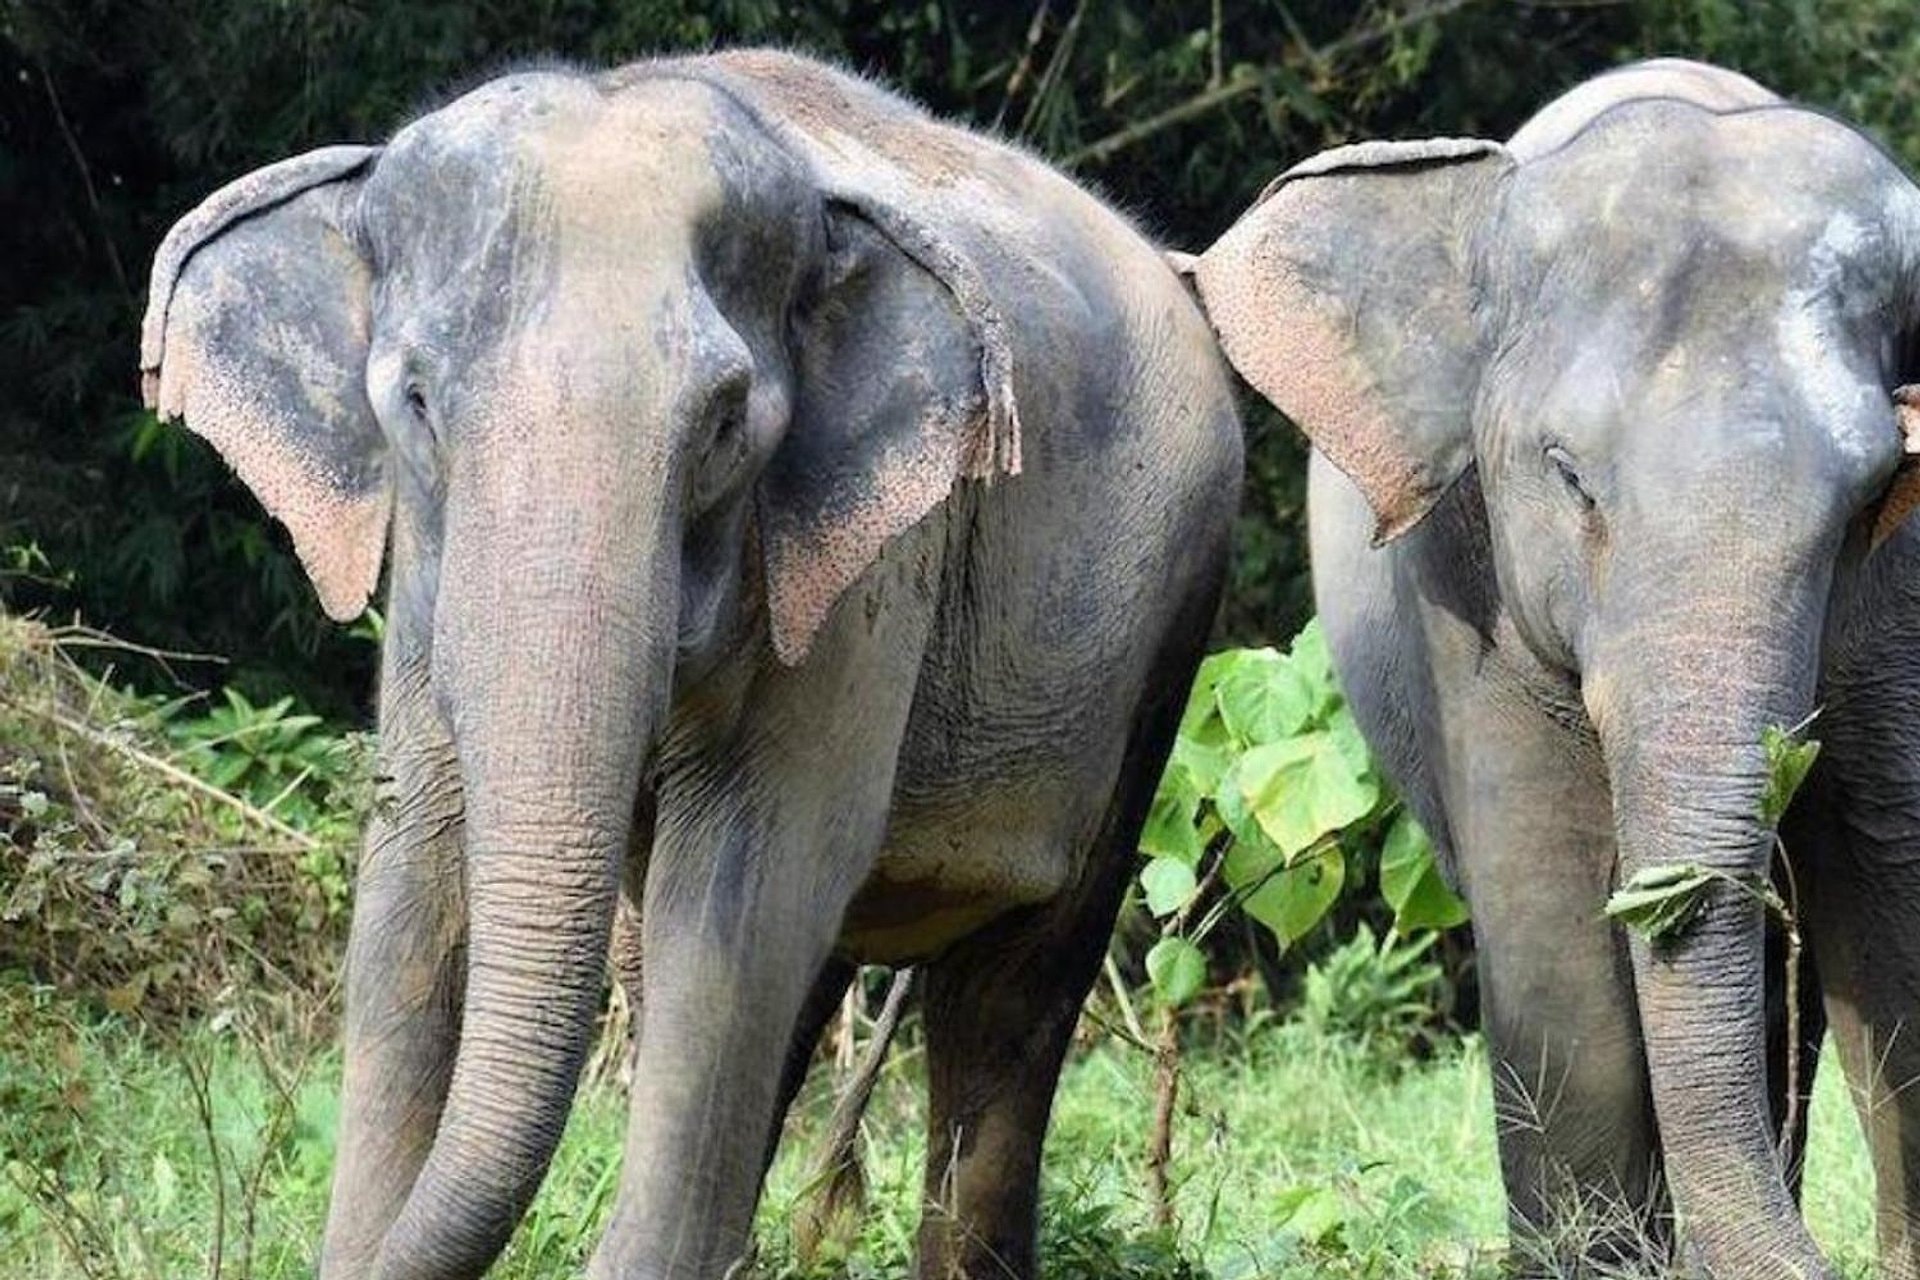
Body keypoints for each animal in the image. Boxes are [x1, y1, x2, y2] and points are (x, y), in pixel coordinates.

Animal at [140, 50, 1241, 1280]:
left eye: (722, 424)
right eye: (416, 403)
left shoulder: (867, 570)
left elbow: (743, 889)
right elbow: (415, 869)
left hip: (1169, 628)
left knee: (1012, 991)